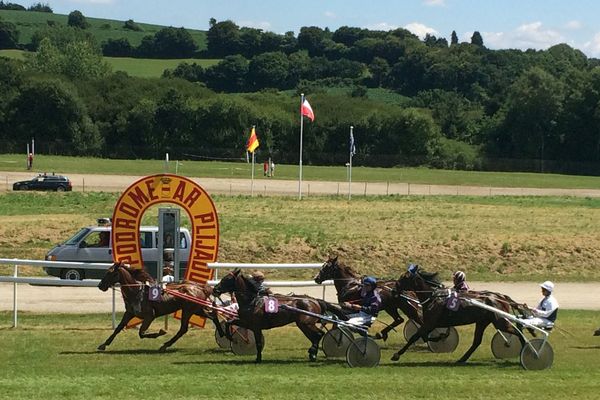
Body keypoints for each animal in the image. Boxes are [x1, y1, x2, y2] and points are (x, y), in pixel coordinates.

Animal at [213, 268, 346, 362]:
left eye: (227, 279)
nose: (215, 289)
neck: (252, 301)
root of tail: (315, 300)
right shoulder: (246, 322)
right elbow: (229, 323)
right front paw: (230, 337)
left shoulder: (256, 326)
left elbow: (258, 343)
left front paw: (258, 359)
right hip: (303, 324)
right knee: (315, 336)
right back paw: (312, 353)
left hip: (306, 323)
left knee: (318, 334)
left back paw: (313, 352)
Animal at [392, 268, 524, 364]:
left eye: (403, 278)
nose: (393, 290)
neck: (433, 297)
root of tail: (501, 297)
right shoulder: (430, 324)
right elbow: (424, 337)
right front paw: (441, 336)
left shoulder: (430, 323)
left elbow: (414, 337)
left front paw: (396, 355)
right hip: (482, 322)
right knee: (476, 341)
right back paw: (462, 359)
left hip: (500, 321)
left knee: (518, 333)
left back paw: (525, 349)